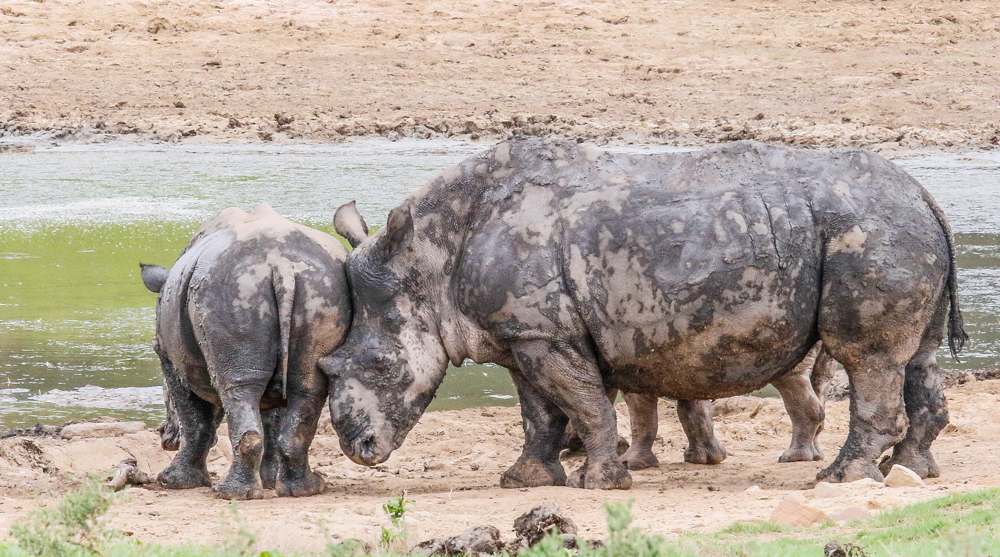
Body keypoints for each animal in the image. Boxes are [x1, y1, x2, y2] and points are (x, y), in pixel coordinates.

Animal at [140, 204, 360, 500]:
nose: (165, 438)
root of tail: (281, 265)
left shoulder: (171, 359)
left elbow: (195, 418)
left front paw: (173, 481)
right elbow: (271, 417)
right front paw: (269, 481)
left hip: (232, 290)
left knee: (237, 388)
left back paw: (230, 494)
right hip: (322, 290)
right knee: (306, 387)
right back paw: (305, 489)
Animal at [324, 137, 964, 488]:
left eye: (380, 367)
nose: (360, 450)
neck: (428, 265)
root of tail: (925, 195)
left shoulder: (544, 333)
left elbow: (584, 405)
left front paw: (603, 483)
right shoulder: (522, 333)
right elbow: (539, 414)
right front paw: (524, 479)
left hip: (870, 231)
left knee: (868, 357)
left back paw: (839, 478)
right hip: (895, 228)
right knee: (918, 356)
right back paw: (910, 471)